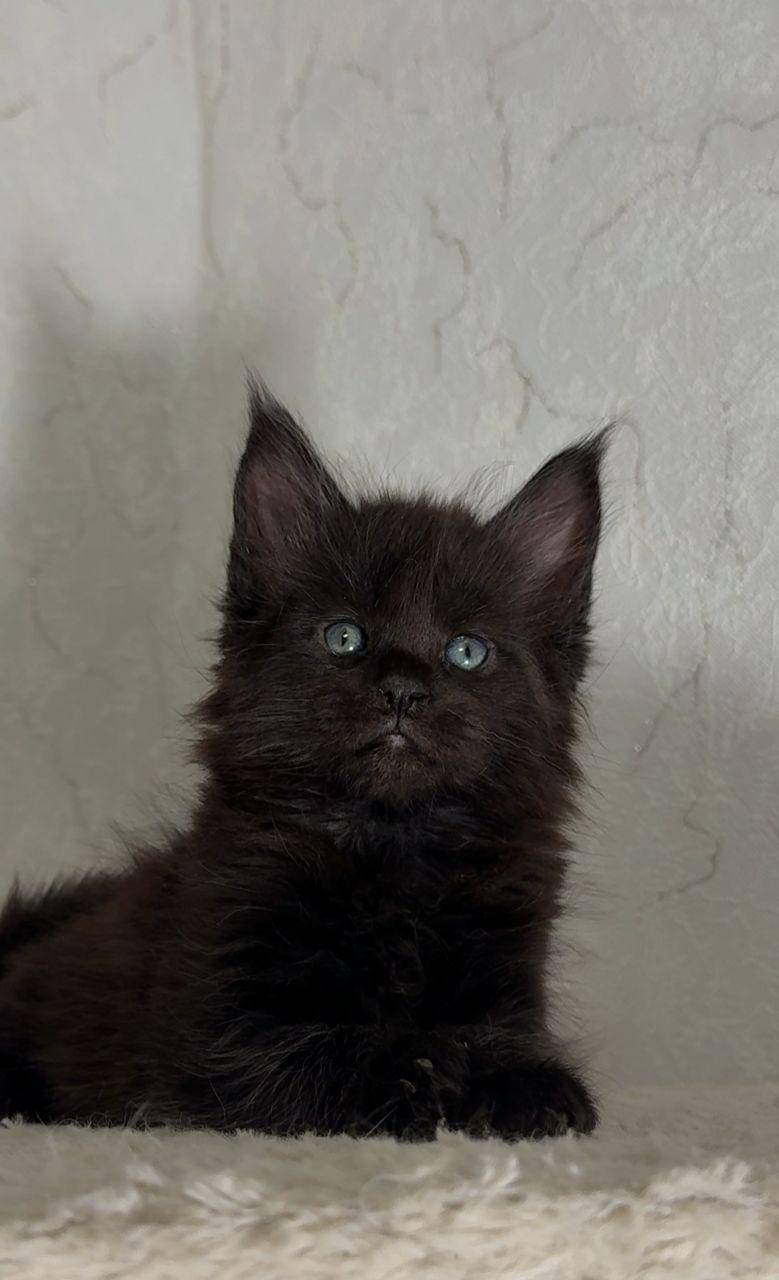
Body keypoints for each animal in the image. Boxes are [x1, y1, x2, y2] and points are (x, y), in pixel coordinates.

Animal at [0, 381, 607, 1140]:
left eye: (467, 651)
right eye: (344, 637)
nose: (402, 690)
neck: (391, 847)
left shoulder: (511, 964)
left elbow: (501, 1034)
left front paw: (524, 1084)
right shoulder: (214, 1022)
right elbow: (310, 1053)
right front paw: (419, 1068)